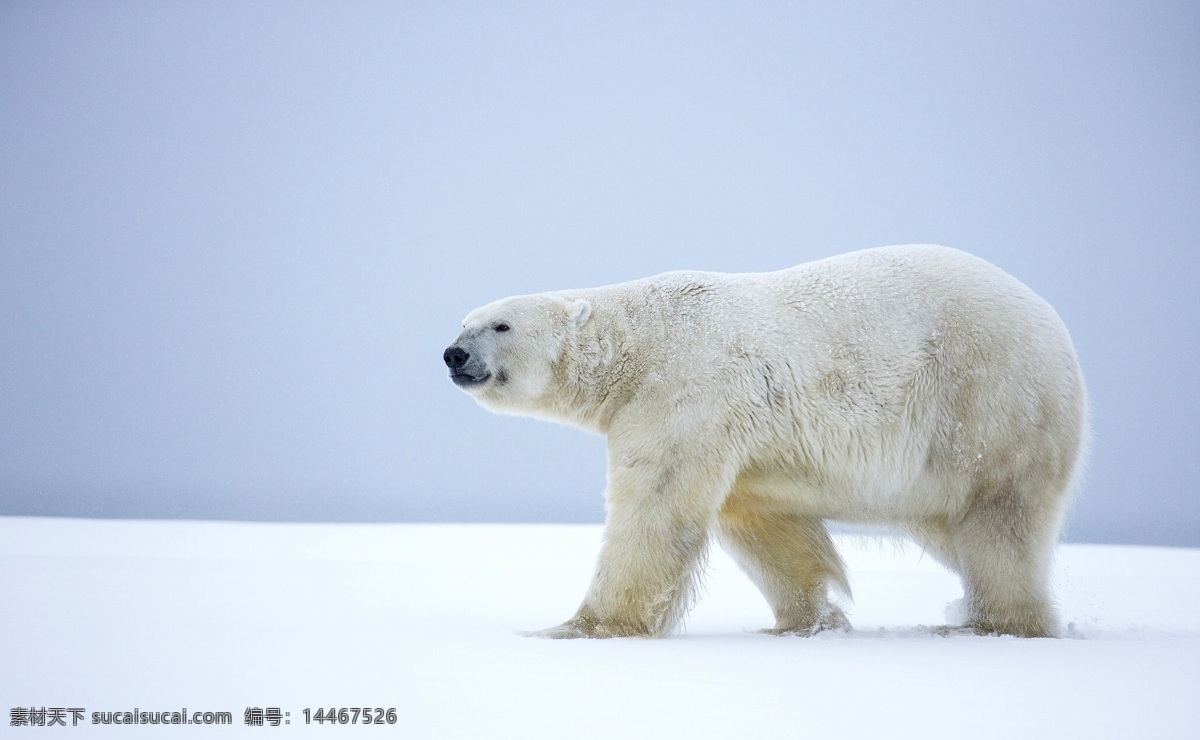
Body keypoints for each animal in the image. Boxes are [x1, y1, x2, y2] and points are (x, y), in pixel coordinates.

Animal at [441, 245, 1089, 638]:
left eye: (500, 324)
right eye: (464, 322)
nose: (454, 354)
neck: (640, 344)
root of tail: (1057, 331)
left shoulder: (683, 392)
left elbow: (655, 511)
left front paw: (578, 627)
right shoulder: (741, 436)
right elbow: (762, 520)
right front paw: (806, 621)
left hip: (990, 402)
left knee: (999, 524)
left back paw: (991, 623)